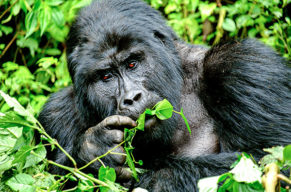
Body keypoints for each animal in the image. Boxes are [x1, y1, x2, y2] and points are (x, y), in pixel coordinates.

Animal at [37, 0, 290, 190]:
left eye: (132, 64)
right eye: (106, 77)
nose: (131, 98)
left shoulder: (244, 65)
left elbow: (269, 158)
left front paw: (151, 179)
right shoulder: (55, 114)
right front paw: (92, 152)